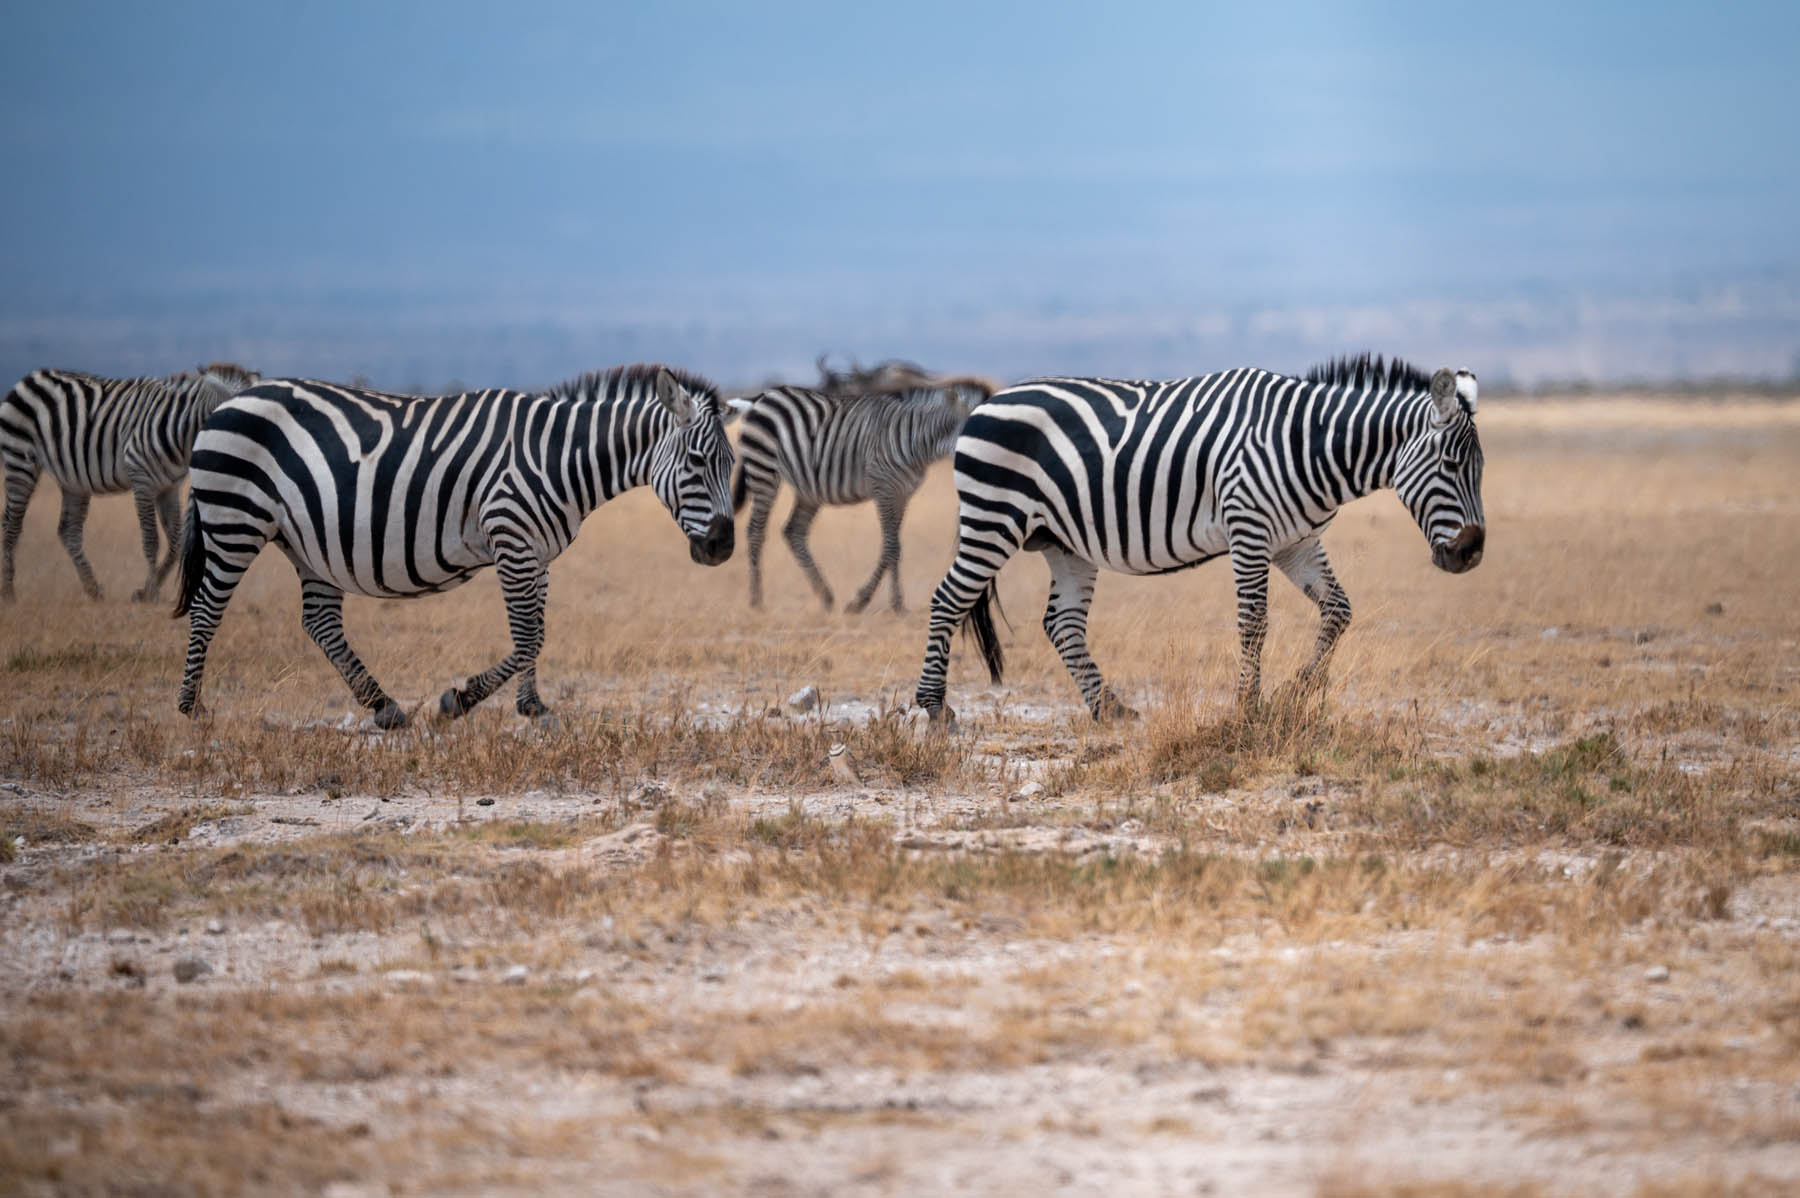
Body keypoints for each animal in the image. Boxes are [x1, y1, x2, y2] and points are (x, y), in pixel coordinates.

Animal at [1, 362, 260, 603]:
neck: (182, 433)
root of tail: (31, 376)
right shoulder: (142, 479)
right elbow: (151, 539)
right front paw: (152, 593)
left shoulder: (169, 487)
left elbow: (175, 541)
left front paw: (146, 591)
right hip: (20, 460)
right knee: (12, 524)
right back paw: (9, 593)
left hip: (73, 480)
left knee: (68, 531)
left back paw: (94, 590)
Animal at [172, 364, 735, 728]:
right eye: (698, 462)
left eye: (732, 465)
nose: (722, 549)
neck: (557, 456)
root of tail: (228, 400)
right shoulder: (511, 536)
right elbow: (526, 636)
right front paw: (457, 702)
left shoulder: (536, 552)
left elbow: (537, 633)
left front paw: (534, 708)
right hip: (235, 520)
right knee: (206, 608)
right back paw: (192, 710)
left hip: (308, 544)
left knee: (319, 622)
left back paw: (384, 707)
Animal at [730, 374, 996, 612]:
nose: (991, 472)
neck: (917, 440)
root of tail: (762, 396)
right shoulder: (884, 488)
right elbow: (891, 546)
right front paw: (878, 603)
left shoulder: (903, 495)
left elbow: (892, 547)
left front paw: (879, 602)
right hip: (763, 469)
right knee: (756, 531)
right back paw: (757, 601)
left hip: (808, 488)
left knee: (793, 531)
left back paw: (825, 596)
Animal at [913, 355, 1486, 724]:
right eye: (1451, 465)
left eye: (1480, 469)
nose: (1471, 553)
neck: (1308, 445)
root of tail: (986, 403)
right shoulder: (1249, 530)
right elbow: (1254, 623)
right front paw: (1249, 710)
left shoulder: (1295, 543)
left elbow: (1339, 610)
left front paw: (1293, 694)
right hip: (993, 517)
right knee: (948, 599)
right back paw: (933, 709)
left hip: (1062, 542)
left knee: (1062, 624)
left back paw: (1110, 710)